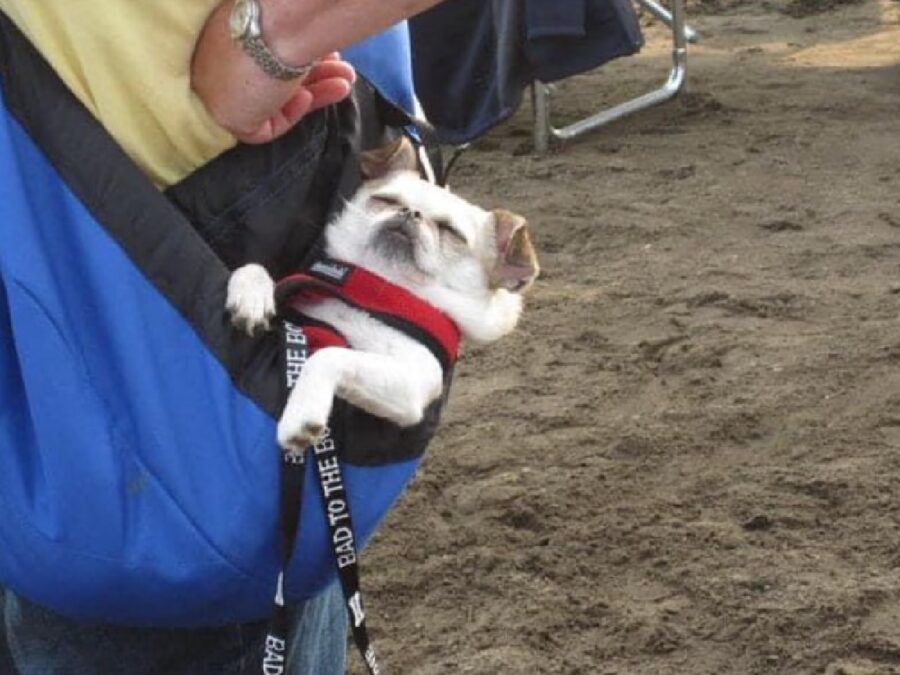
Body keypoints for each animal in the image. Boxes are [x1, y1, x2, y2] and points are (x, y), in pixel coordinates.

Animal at [225, 137, 536, 454]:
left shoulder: (411, 382)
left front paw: (301, 414)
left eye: (451, 232)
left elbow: (328, 355)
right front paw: (252, 297)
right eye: (385, 200)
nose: (411, 212)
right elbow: (256, 269)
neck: (373, 290)